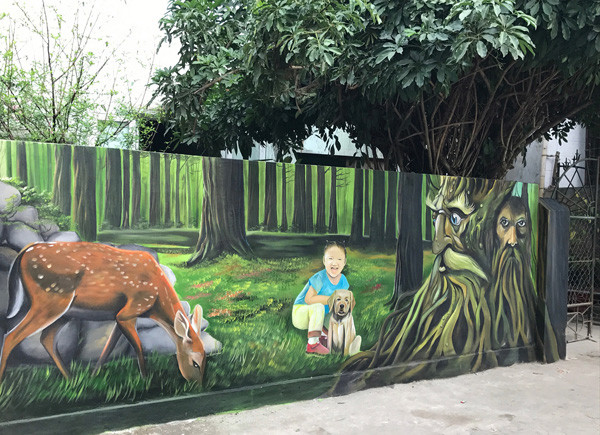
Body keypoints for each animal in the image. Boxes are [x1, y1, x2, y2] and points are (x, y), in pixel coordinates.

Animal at [0, 242, 206, 384]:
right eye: (195, 362)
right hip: (50, 300)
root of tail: (25, 251)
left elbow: (109, 347)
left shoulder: (122, 316)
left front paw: (94, 374)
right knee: (11, 335)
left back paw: (70, 378)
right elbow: (138, 346)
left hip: (65, 311)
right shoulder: (132, 308)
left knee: (46, 338)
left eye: (206, 359)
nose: (198, 384)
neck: (156, 300)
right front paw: (146, 379)